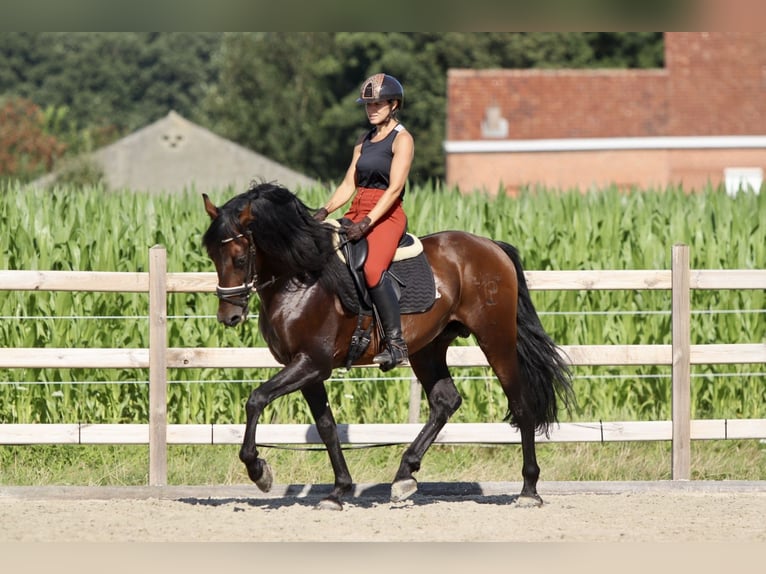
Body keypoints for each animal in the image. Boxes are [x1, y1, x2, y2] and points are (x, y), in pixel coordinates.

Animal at [201, 182, 572, 510]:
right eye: (212, 255)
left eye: (238, 257)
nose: (229, 316)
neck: (301, 279)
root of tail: (490, 246)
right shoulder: (306, 368)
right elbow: (326, 427)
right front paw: (338, 491)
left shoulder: (311, 362)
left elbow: (256, 398)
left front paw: (258, 470)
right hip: (428, 348)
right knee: (445, 401)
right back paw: (405, 474)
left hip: (495, 339)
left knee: (521, 404)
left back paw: (529, 490)